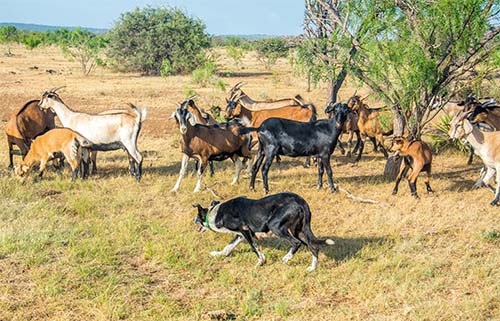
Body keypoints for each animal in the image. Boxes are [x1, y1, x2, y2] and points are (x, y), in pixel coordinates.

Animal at [193, 191, 334, 272]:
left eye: (197, 217)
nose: (193, 221)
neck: (216, 213)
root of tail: (300, 201)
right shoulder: (240, 235)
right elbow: (227, 248)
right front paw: (217, 254)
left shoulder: (244, 230)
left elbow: (254, 248)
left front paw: (261, 261)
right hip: (299, 230)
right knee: (313, 246)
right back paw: (313, 268)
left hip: (275, 226)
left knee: (296, 243)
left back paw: (286, 258)